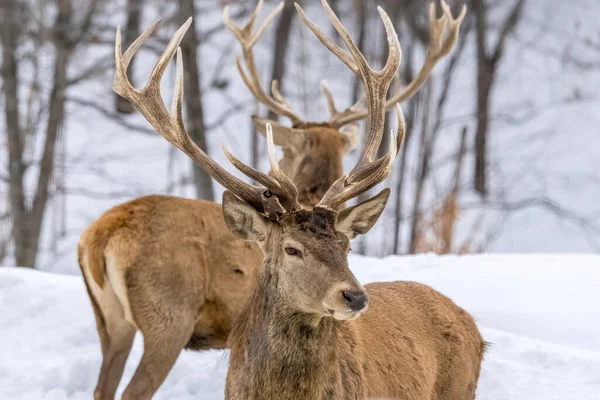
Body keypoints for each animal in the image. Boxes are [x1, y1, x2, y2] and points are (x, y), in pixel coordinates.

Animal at [78, 0, 464, 398]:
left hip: (111, 322)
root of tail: (99, 236)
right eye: (292, 249)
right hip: (168, 315)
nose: (355, 296)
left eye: (347, 247)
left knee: (103, 386)